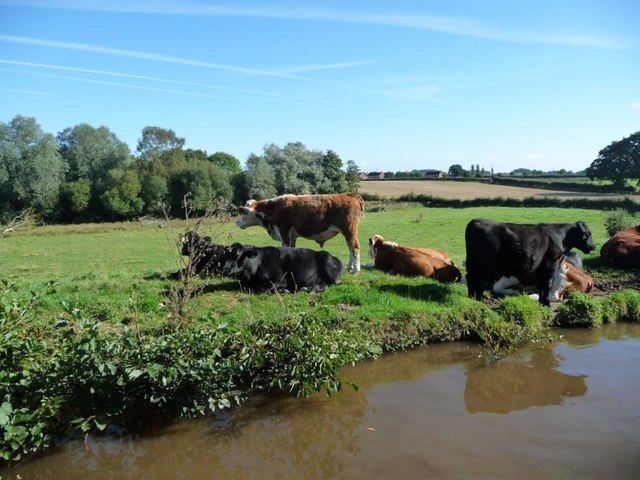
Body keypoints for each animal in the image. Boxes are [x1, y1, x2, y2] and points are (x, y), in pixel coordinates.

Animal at [236, 192, 364, 274]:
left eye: (243, 213)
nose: (237, 223)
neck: (274, 208)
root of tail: (349, 194)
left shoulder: (284, 233)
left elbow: (285, 249)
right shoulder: (292, 236)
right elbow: (291, 250)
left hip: (349, 230)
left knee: (355, 247)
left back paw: (356, 270)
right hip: (348, 233)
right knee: (350, 247)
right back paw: (350, 267)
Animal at [464, 219, 596, 306]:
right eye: (588, 234)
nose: (593, 246)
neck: (561, 237)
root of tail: (475, 222)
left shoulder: (543, 267)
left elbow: (543, 284)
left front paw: (542, 301)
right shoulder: (551, 265)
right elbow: (547, 283)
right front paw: (545, 303)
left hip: (472, 260)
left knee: (470, 277)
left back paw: (471, 298)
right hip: (483, 262)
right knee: (478, 279)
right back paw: (478, 299)